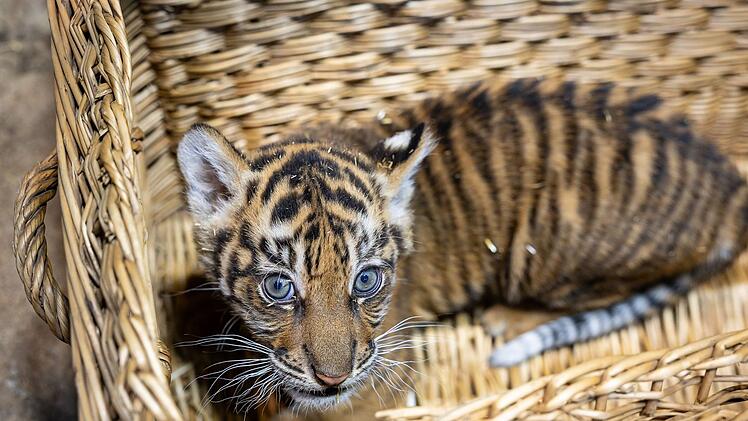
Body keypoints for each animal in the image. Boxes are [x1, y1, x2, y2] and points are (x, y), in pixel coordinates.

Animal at [176, 78, 748, 414]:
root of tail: (730, 189)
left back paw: (506, 319)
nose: (333, 379)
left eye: (366, 280)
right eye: (279, 287)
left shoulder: (381, 375)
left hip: (546, 251)